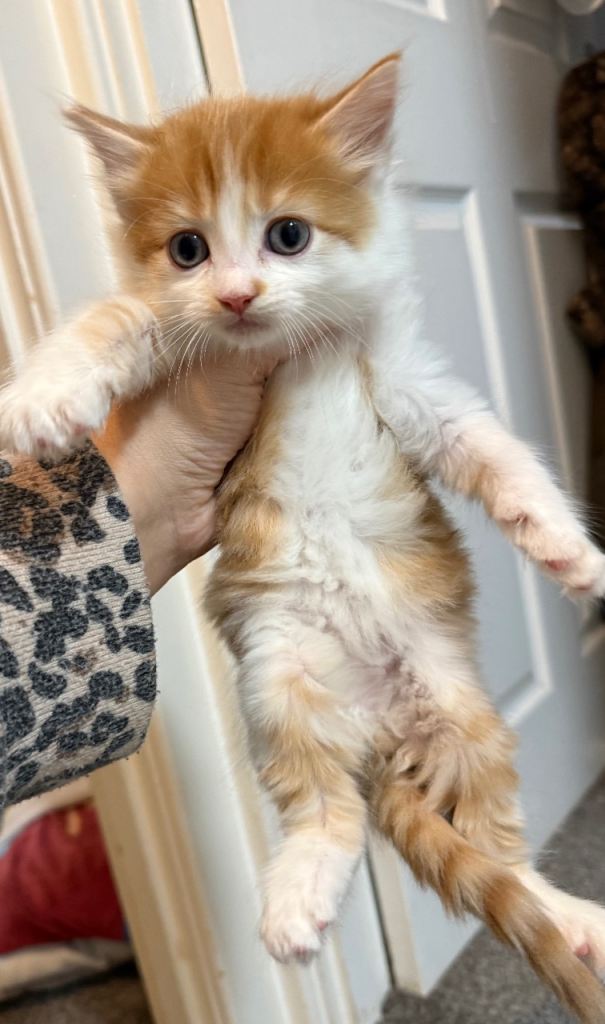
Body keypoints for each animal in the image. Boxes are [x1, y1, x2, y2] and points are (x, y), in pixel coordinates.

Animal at [2, 53, 605, 1022]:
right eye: (188, 250)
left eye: (287, 235)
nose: (237, 294)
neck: (298, 357)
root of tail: (381, 732)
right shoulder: (185, 351)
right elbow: (120, 319)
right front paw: (42, 397)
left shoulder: (406, 388)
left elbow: (491, 450)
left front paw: (568, 551)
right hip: (277, 677)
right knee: (327, 812)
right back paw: (298, 897)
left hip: (462, 707)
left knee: (502, 856)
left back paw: (569, 916)